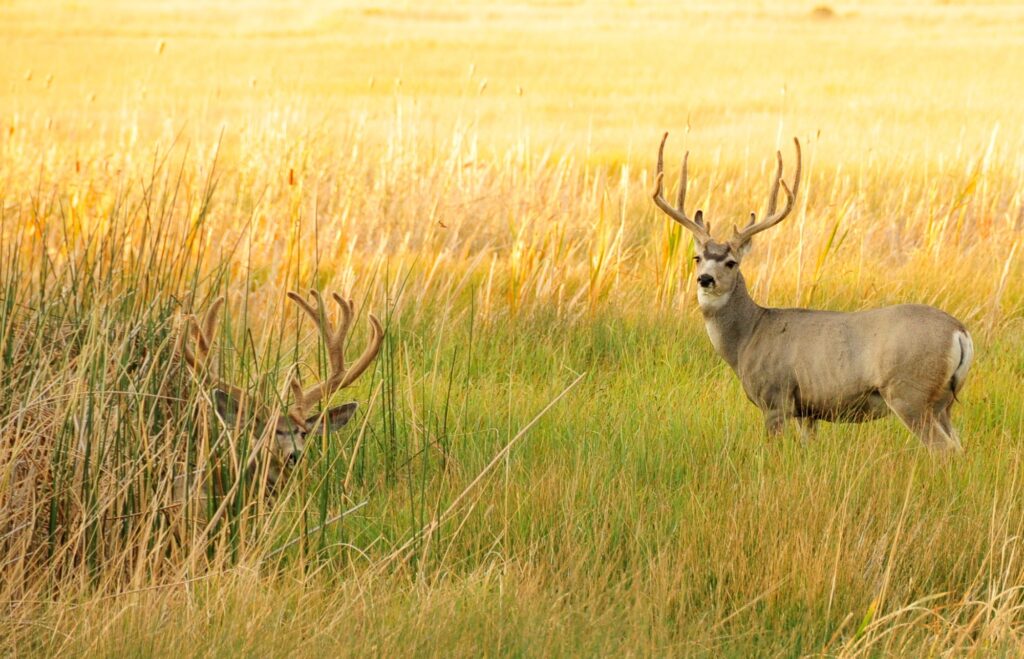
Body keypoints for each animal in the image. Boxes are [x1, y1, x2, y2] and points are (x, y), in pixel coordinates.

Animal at [652, 134, 974, 452]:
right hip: (942, 402)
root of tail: (959, 332)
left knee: (944, 449)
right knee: (959, 446)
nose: (705, 279)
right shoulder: (807, 411)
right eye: (697, 258)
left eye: (731, 262)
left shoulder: (775, 397)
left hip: (910, 392)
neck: (747, 337)